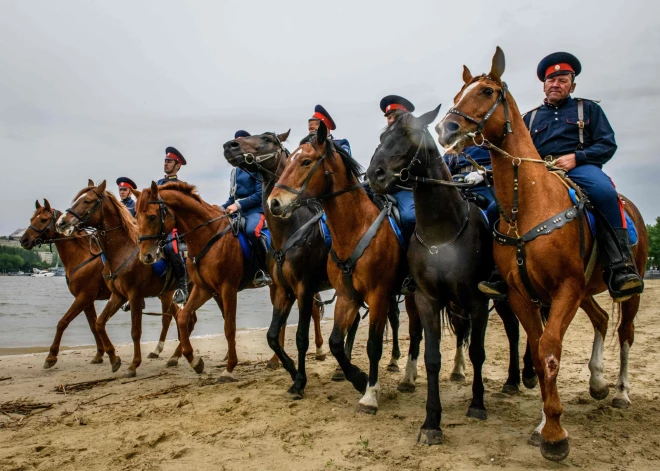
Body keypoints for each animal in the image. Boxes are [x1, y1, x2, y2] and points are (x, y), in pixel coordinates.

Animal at [54, 182, 182, 380]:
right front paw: (113, 358)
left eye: (87, 201)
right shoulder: (117, 295)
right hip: (169, 294)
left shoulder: (134, 296)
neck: (122, 250)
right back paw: (174, 355)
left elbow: (135, 331)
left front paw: (134, 364)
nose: (61, 222)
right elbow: (99, 324)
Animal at [268, 123, 422, 414]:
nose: (274, 202)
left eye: (306, 161)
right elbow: (335, 343)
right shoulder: (345, 295)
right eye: (288, 160)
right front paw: (359, 379)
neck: (355, 228)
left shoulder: (375, 295)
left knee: (420, 331)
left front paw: (369, 394)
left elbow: (372, 346)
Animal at [366, 108, 532, 446]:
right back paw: (510, 380)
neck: (442, 233)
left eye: (408, 136)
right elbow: (431, 357)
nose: (375, 174)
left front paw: (477, 404)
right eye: (382, 136)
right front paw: (432, 422)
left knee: (515, 331)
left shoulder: (478, 302)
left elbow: (478, 352)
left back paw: (519, 378)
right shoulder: (427, 300)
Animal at [436, 48, 648, 460]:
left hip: (626, 287)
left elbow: (550, 348)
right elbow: (536, 349)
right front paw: (544, 422)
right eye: (456, 95)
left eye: (486, 91)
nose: (446, 130)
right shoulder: (523, 293)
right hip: (584, 291)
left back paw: (620, 392)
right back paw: (597, 382)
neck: (529, 203)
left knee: (625, 331)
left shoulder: (564, 288)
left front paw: (554, 435)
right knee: (601, 319)